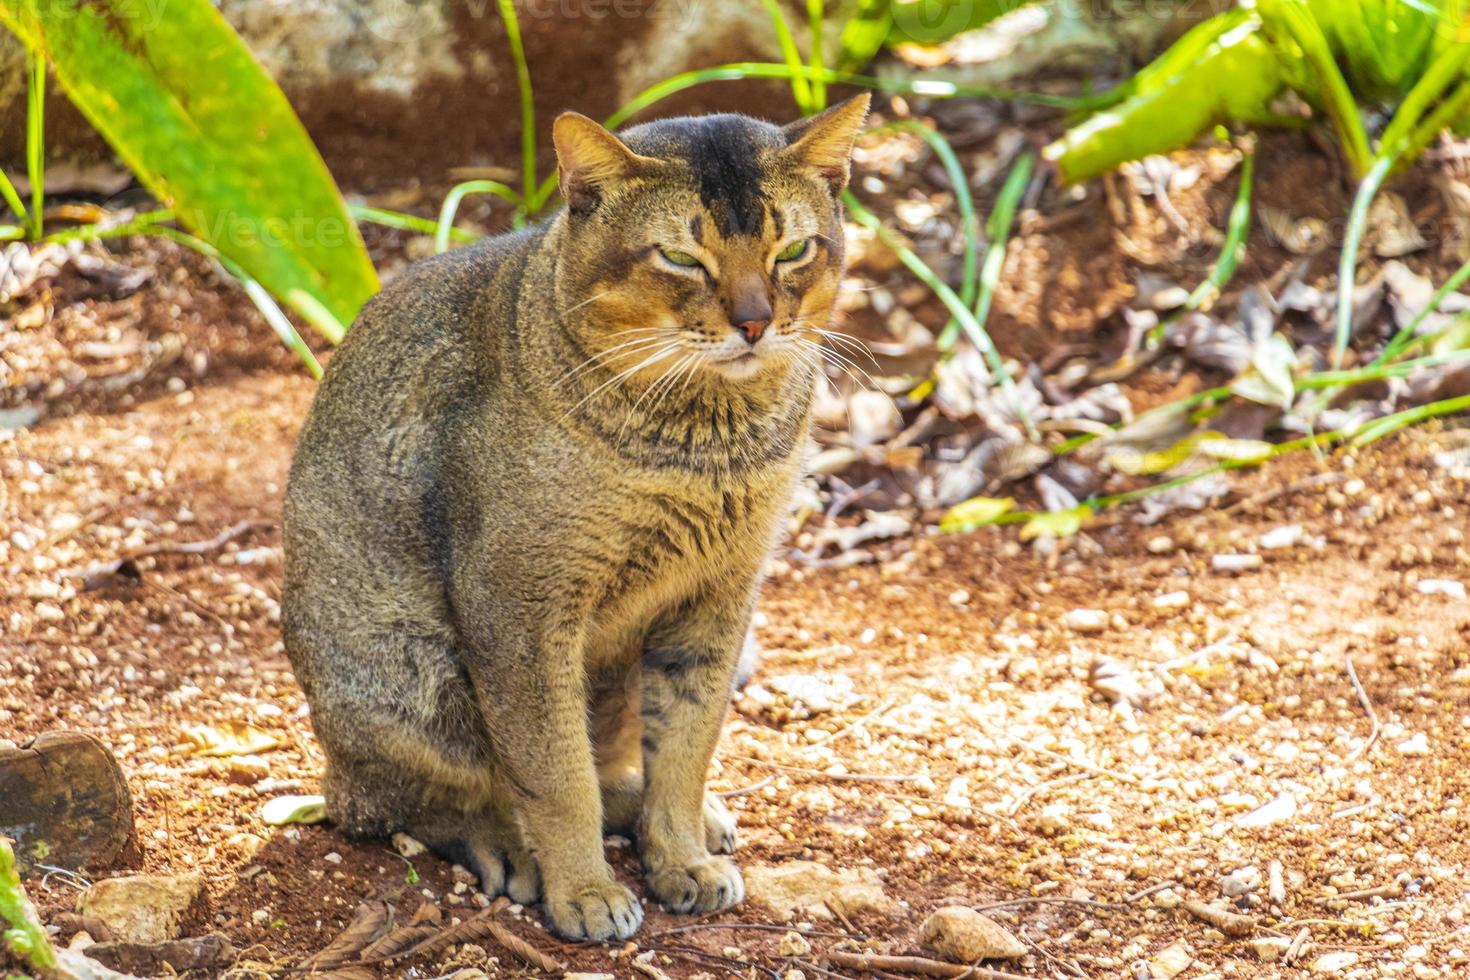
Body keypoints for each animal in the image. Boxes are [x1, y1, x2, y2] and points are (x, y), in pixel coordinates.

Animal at [280, 94, 864, 940]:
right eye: (681, 258)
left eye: (792, 250)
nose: (755, 322)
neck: (703, 450)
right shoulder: (521, 609)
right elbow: (555, 775)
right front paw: (585, 890)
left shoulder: (720, 594)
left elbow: (687, 747)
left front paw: (679, 857)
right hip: (416, 677)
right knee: (404, 804)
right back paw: (509, 848)